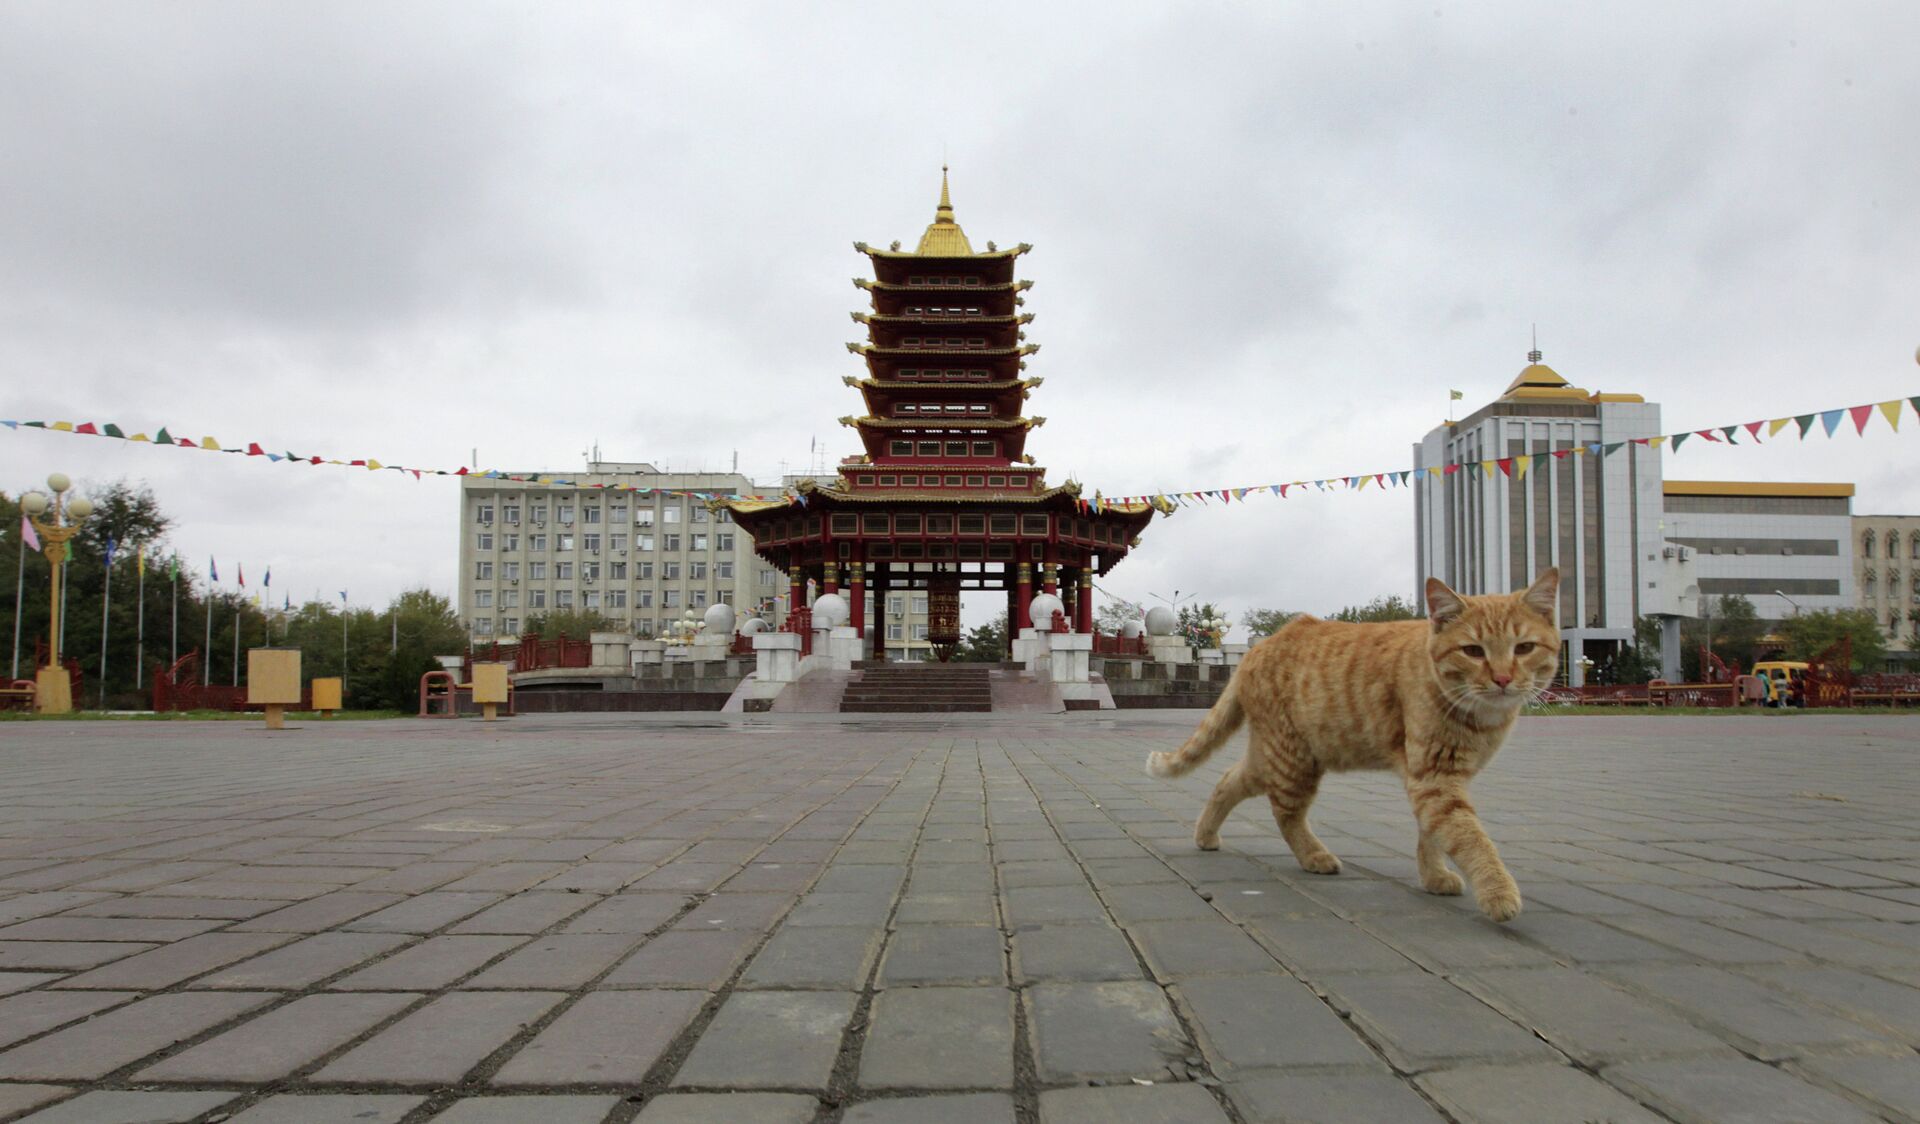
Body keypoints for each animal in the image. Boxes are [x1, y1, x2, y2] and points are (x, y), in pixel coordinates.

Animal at [1144, 568, 1551, 922]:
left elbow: (1434, 833)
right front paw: (1498, 892)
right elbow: (1470, 837)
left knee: (1228, 780)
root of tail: (1257, 650)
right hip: (1293, 761)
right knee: (1285, 813)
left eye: (1524, 648)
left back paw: (1206, 835)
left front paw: (1434, 876)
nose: (1503, 679)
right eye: (1473, 651)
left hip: (1277, 756)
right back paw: (1314, 856)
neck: (1481, 717)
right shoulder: (1435, 777)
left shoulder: (1439, 780)